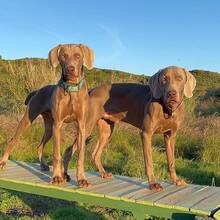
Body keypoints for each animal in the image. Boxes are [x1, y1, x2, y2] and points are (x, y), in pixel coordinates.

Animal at [0, 65, 196, 191]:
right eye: (164, 79)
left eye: (180, 79)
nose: (172, 93)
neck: (167, 109)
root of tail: (90, 90)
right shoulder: (146, 134)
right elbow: (149, 162)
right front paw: (153, 183)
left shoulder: (171, 136)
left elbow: (171, 161)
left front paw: (176, 180)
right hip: (79, 125)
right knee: (66, 149)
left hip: (103, 129)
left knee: (92, 153)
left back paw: (95, 173)